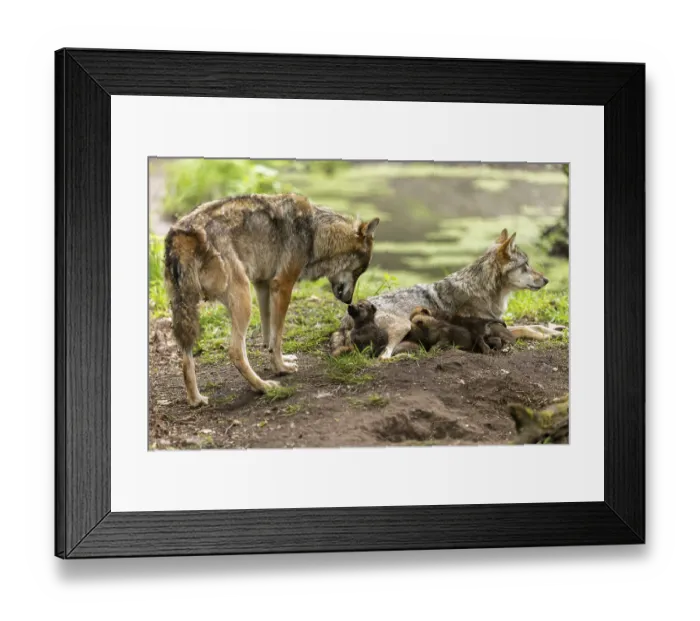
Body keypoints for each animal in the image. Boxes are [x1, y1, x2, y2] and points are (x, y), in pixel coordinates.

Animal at [164, 193, 380, 404]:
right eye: (360, 271)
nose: (349, 301)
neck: (315, 231)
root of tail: (182, 234)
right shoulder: (282, 285)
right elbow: (278, 337)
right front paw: (281, 368)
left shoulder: (263, 285)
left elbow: (269, 333)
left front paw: (275, 358)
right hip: (243, 300)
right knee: (235, 352)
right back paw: (263, 387)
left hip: (189, 314)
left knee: (186, 359)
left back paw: (196, 399)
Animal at [330, 229, 563, 359]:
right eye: (526, 266)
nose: (547, 280)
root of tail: (344, 320)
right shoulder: (492, 325)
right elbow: (527, 328)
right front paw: (547, 335)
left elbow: (533, 324)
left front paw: (555, 329)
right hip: (403, 326)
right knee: (383, 358)